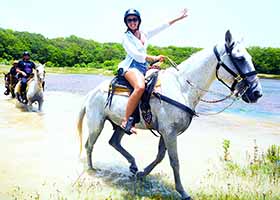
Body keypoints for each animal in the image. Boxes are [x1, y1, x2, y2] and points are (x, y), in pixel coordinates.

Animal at [76, 30, 262, 199]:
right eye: (240, 58)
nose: (257, 93)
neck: (182, 87)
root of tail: (91, 93)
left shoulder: (166, 132)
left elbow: (160, 156)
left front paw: (142, 173)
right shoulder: (169, 133)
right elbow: (175, 161)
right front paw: (183, 192)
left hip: (121, 125)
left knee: (113, 142)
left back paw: (133, 165)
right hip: (96, 124)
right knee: (89, 145)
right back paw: (92, 169)